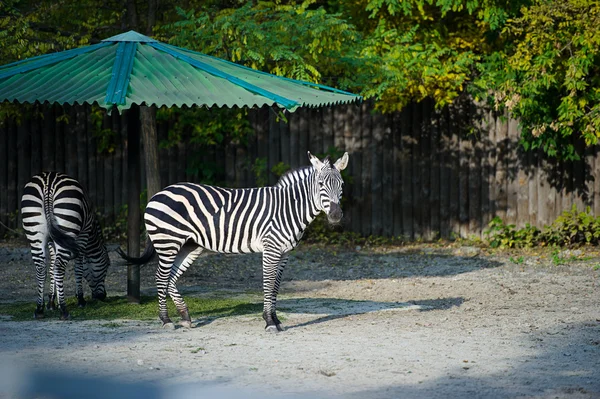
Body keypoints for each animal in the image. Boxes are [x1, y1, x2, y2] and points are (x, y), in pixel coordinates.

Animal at [21, 173, 110, 320]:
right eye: (107, 265)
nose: (103, 296)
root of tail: (48, 184)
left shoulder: (53, 240)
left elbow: (51, 267)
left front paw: (52, 302)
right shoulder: (83, 235)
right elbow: (79, 267)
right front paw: (79, 299)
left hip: (35, 231)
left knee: (41, 267)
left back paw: (39, 308)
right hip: (67, 221)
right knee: (59, 267)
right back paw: (63, 310)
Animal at [119, 152, 350, 332]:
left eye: (341, 185)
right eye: (320, 184)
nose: (336, 215)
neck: (288, 208)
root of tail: (159, 193)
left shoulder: (285, 254)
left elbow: (275, 286)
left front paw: (276, 320)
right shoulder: (271, 248)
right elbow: (268, 284)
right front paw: (269, 322)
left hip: (190, 246)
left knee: (171, 278)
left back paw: (185, 317)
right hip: (168, 242)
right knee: (161, 277)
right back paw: (166, 320)